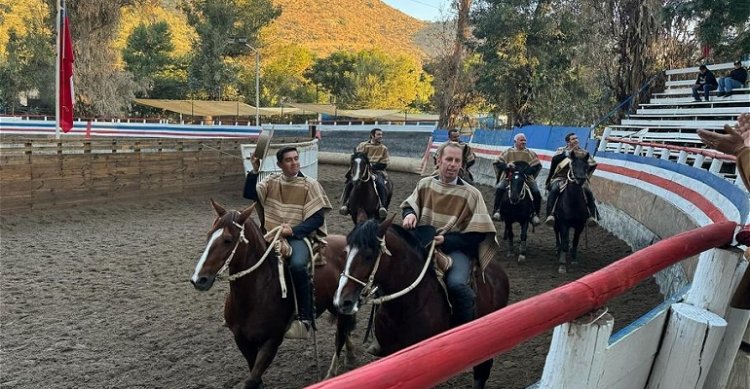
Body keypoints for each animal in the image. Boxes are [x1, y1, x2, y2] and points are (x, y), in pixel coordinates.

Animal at [192, 200, 360, 388]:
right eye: (209, 236)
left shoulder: (272, 340)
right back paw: (350, 354)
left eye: (227, 240)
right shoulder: (242, 341)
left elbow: (251, 380)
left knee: (340, 335)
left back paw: (332, 373)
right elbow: (255, 377)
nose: (199, 279)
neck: (256, 294)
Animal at [334, 215, 512, 388]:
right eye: (346, 252)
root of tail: (498, 272)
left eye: (368, 256)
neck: (406, 306)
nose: (342, 301)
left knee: (481, 373)